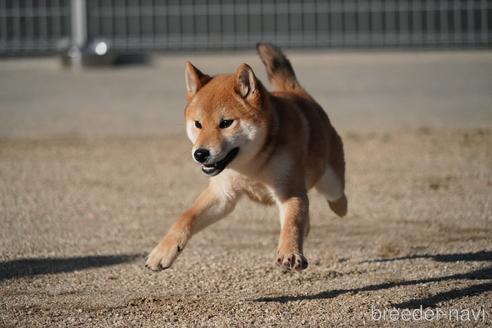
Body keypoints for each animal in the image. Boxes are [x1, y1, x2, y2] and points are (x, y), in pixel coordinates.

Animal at [145, 42, 346, 272]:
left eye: (226, 123)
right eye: (198, 124)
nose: (200, 154)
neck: (251, 165)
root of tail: (295, 91)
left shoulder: (289, 191)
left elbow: (292, 223)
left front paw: (290, 252)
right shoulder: (222, 194)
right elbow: (186, 217)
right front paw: (162, 252)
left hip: (331, 184)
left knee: (337, 199)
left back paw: (337, 207)